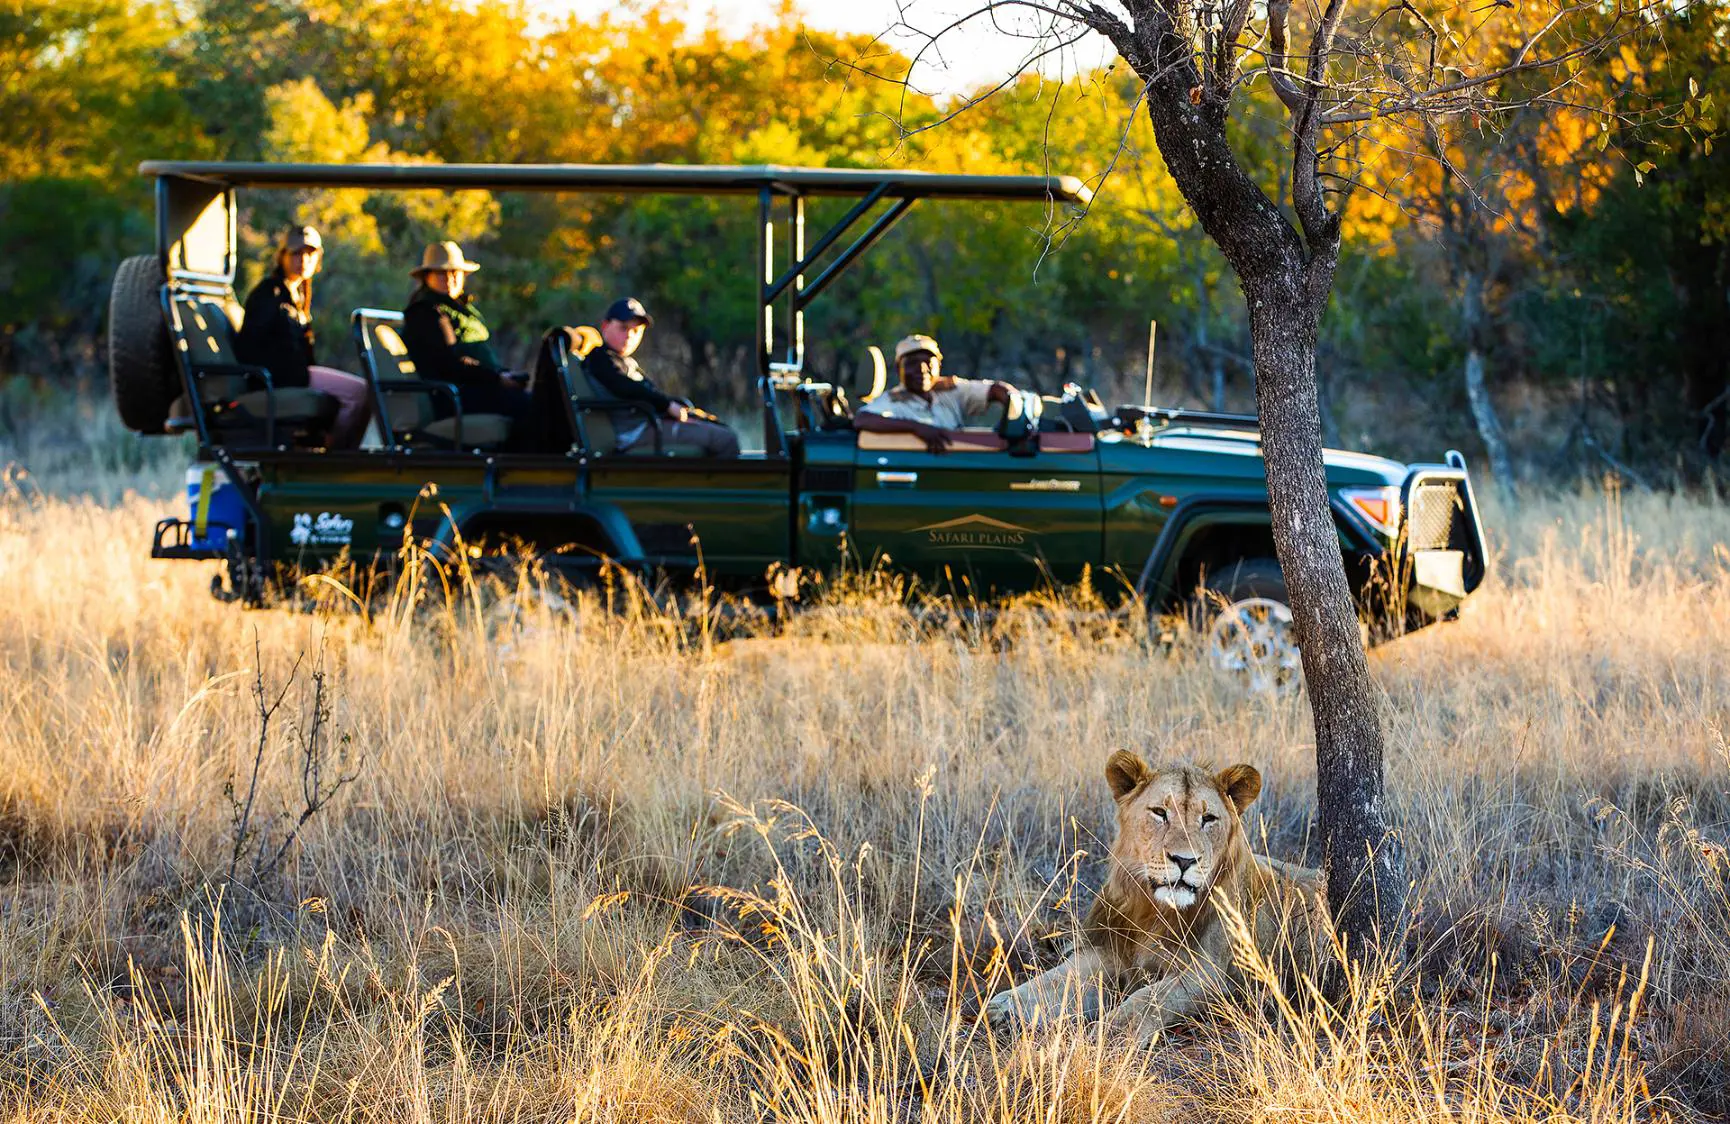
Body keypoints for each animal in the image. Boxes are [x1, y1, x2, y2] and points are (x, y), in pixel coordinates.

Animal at [985, 751, 1333, 1040]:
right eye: (1159, 812)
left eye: (1208, 819)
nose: (1185, 860)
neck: (1154, 911)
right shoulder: (1107, 950)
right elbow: (1058, 979)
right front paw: (1005, 1006)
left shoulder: (1211, 974)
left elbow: (1148, 998)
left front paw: (1112, 1032)